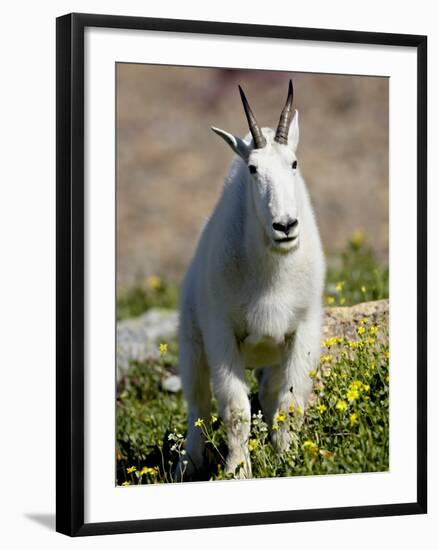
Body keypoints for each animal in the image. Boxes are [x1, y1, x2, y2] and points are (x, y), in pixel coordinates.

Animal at [178, 80, 326, 480]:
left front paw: (288, 459)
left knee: (271, 395)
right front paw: (237, 470)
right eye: (253, 169)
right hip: (191, 341)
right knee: (197, 404)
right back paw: (188, 463)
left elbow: (290, 402)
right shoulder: (221, 332)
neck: (271, 273)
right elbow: (236, 410)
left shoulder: (302, 328)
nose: (285, 226)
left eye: (294, 163)